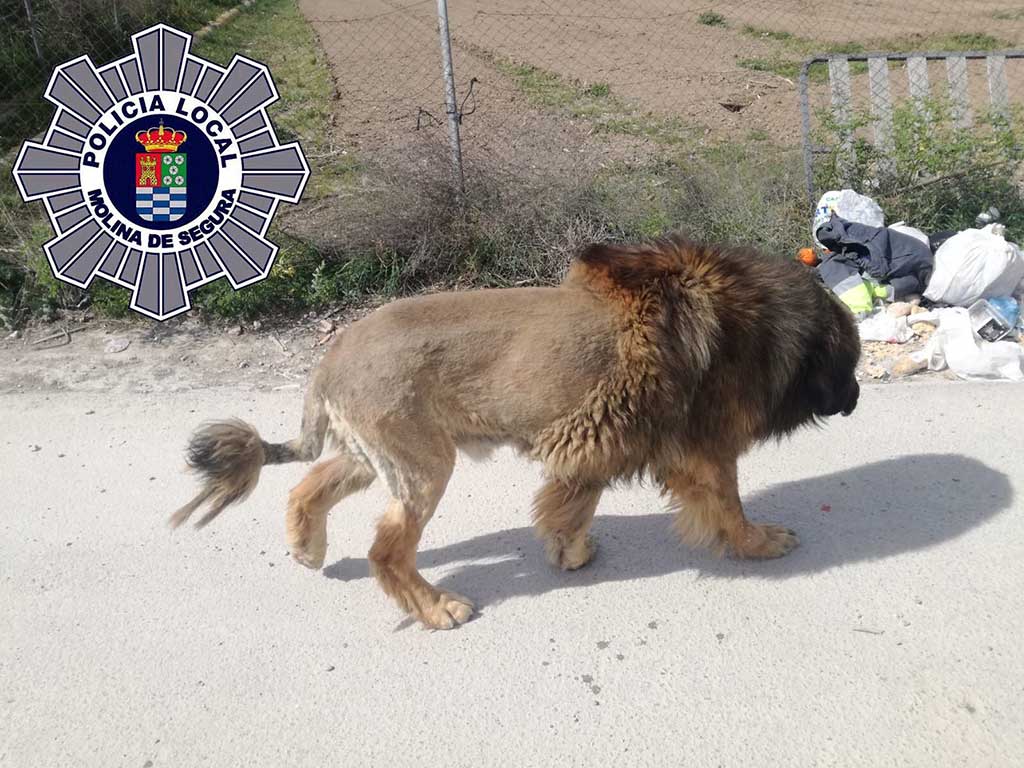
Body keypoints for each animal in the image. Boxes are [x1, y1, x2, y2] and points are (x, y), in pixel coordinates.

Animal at [171, 235, 861, 630]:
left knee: (306, 488)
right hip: (423, 466)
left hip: (376, 457)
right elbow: (729, 509)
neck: (754, 322)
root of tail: (331, 355)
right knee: (386, 552)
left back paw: (306, 549)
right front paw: (761, 543)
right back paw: (438, 610)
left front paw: (569, 553)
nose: (856, 399)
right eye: (851, 362)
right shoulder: (702, 450)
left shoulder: (602, 440)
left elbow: (572, 505)